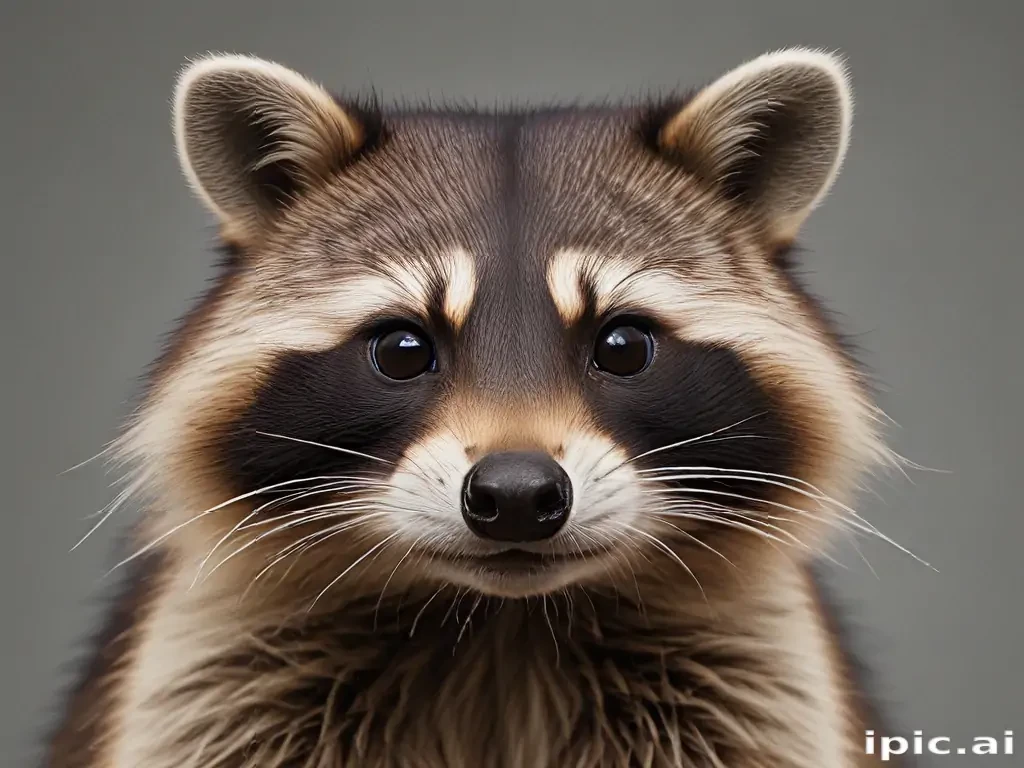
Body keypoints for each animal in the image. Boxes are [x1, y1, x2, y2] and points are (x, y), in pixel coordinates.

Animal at [47, 48, 904, 767]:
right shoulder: (209, 675)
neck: (503, 627)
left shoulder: (757, 684)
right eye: (402, 349)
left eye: (623, 346)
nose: (517, 494)